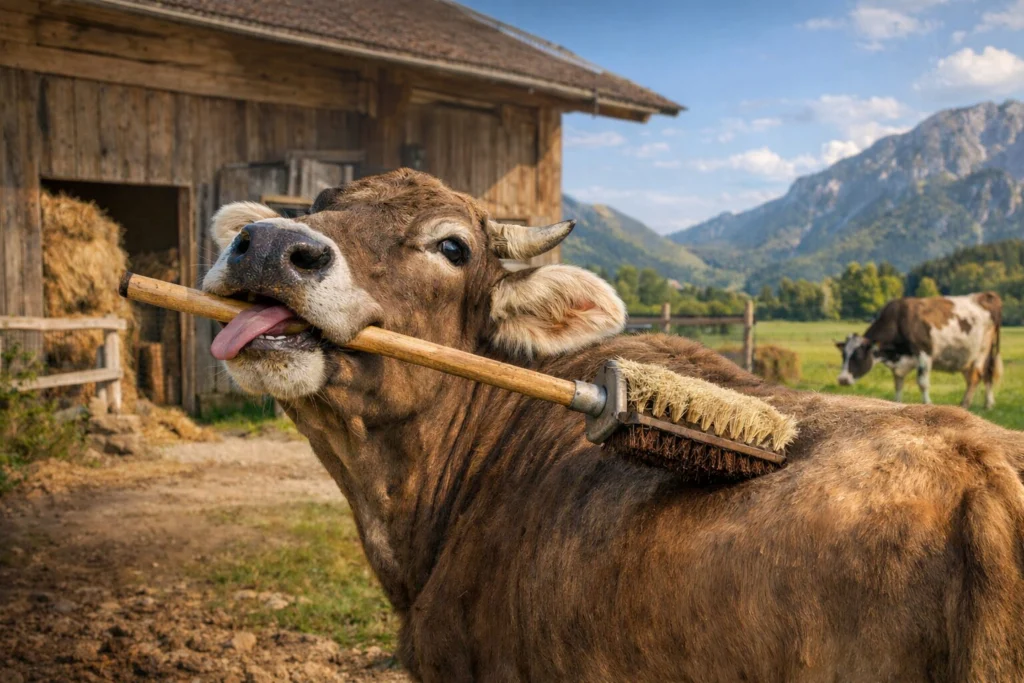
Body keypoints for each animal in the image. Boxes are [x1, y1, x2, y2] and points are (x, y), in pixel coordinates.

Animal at [836, 294, 1003, 409]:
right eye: (843, 355)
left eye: (858, 356)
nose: (842, 379)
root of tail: (985, 295)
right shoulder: (899, 363)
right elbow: (898, 383)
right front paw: (896, 402)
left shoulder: (924, 354)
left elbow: (922, 383)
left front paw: (928, 403)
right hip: (970, 357)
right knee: (986, 375)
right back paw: (988, 404)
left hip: (982, 350)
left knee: (976, 376)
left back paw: (965, 404)